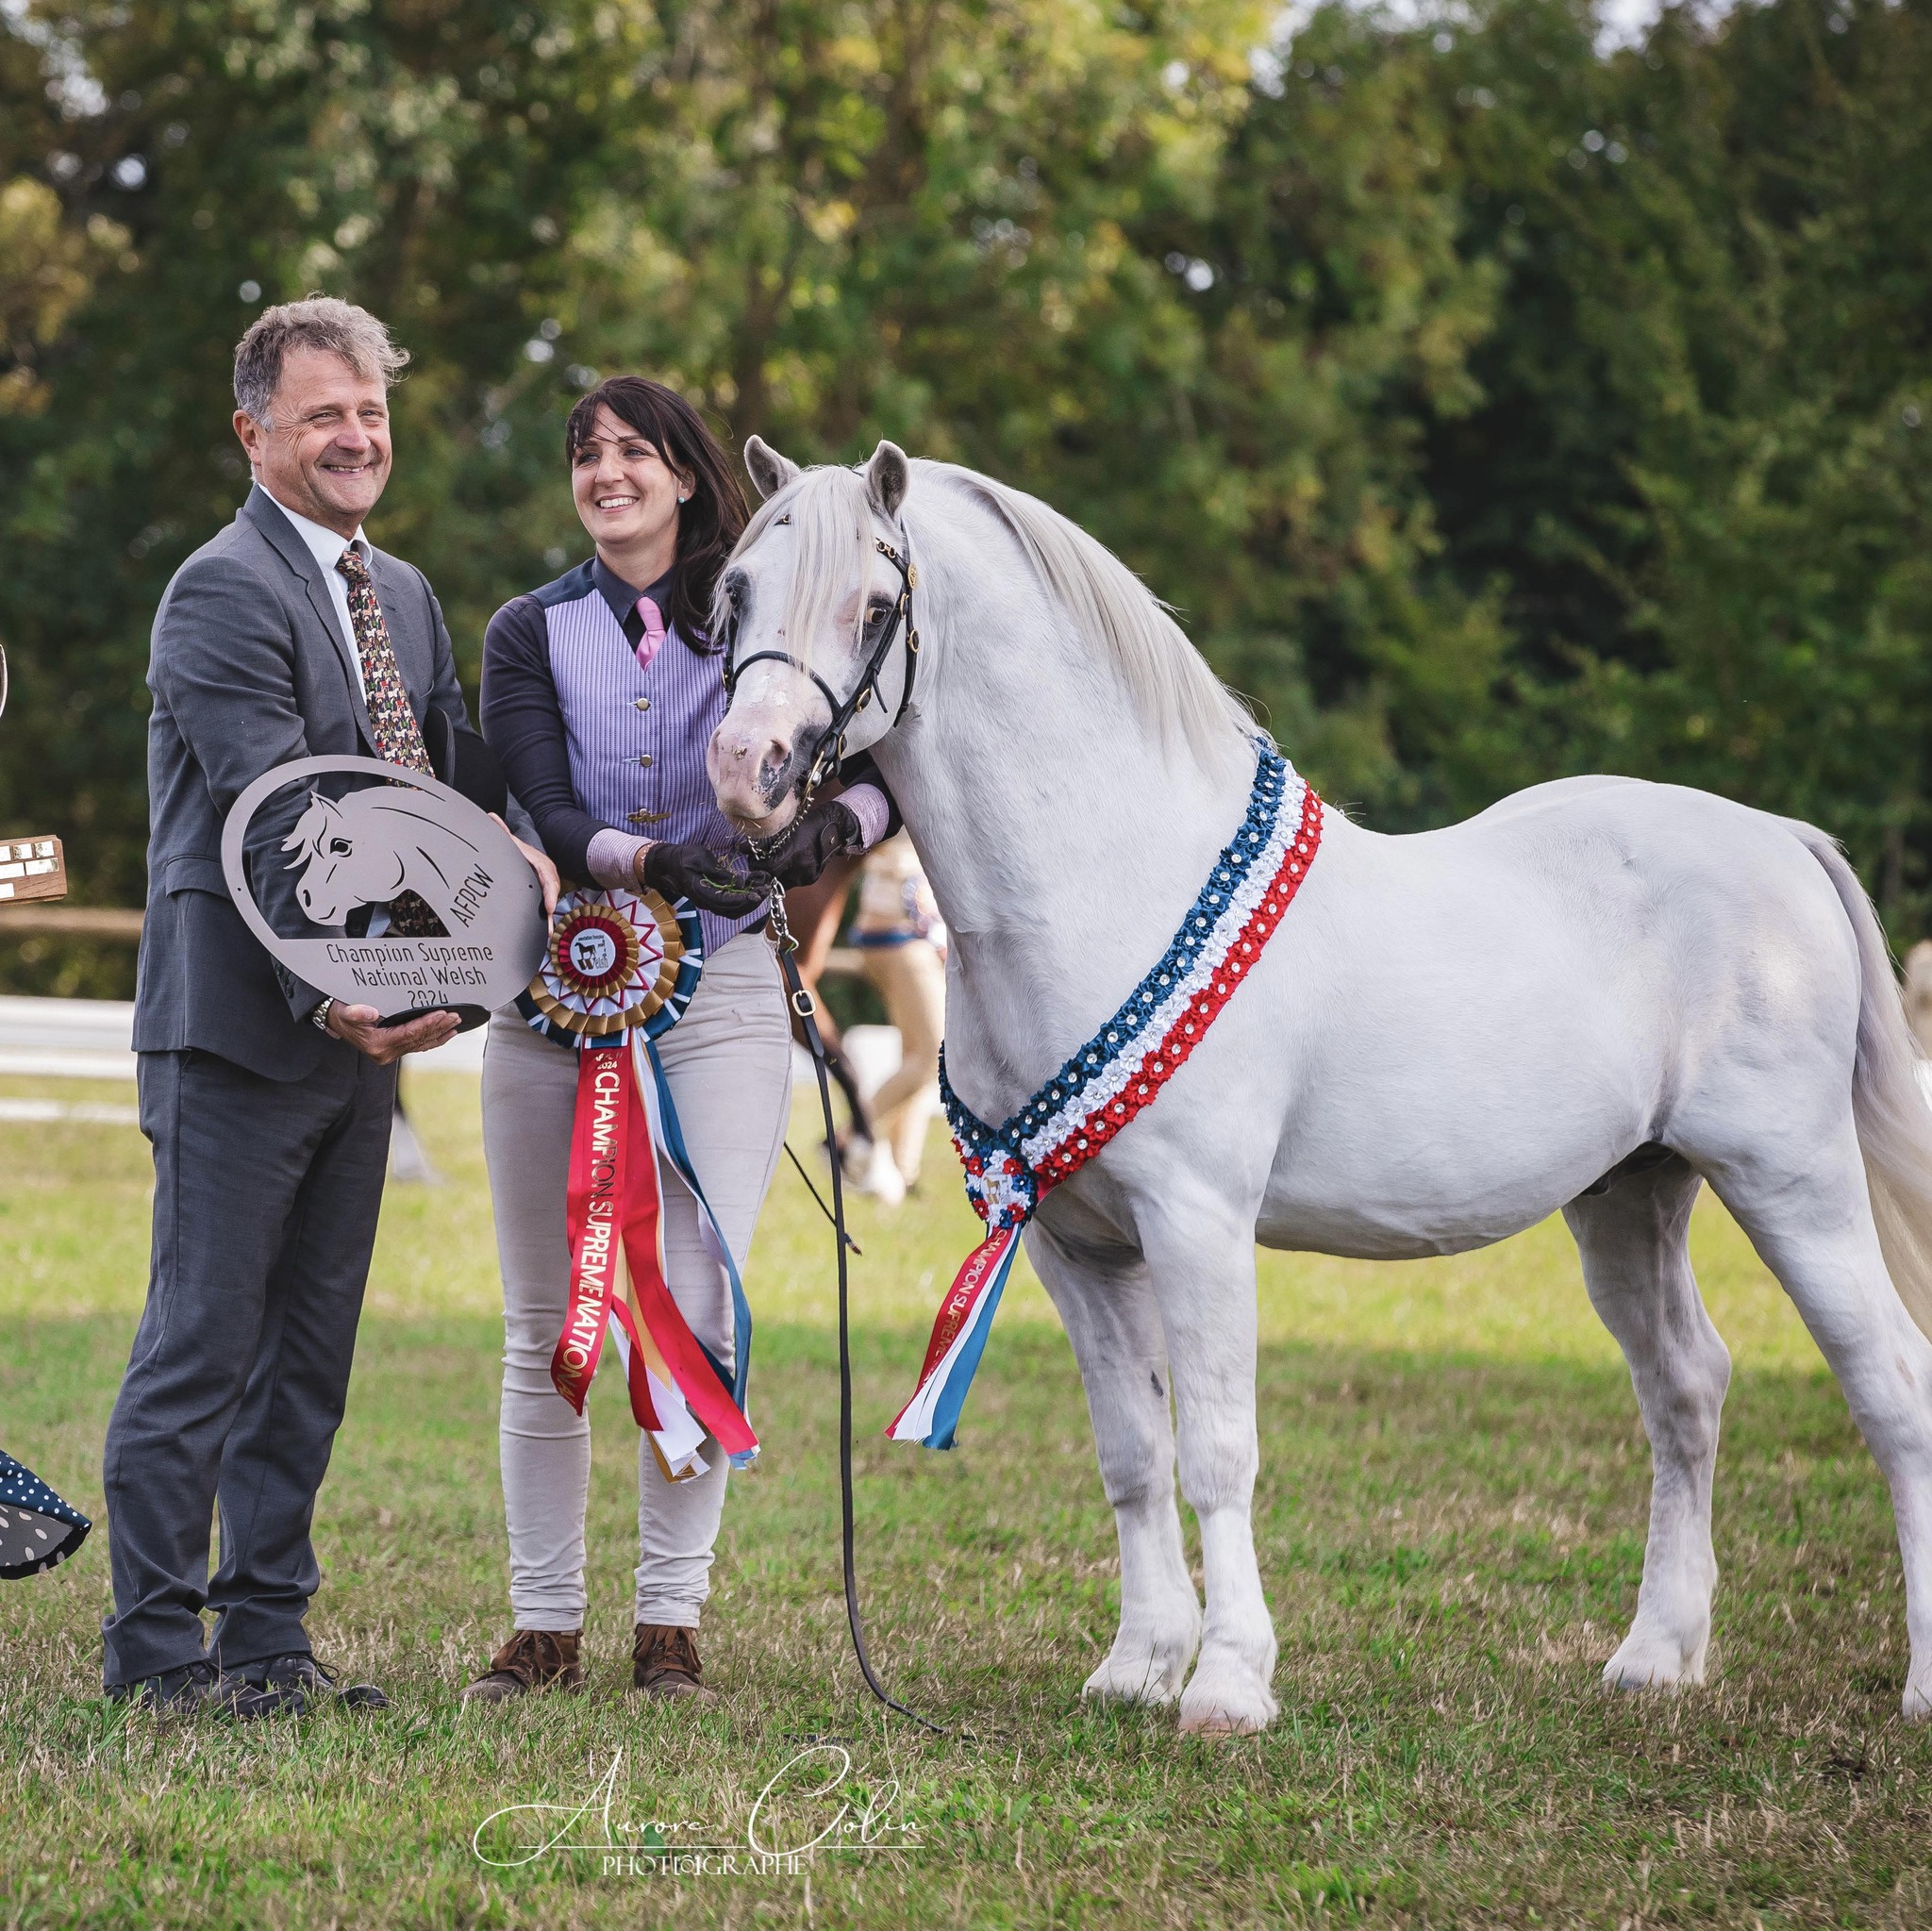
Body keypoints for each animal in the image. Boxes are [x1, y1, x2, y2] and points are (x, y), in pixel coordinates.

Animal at [703, 438, 1932, 1738]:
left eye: (874, 607)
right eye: (735, 590)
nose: (744, 769)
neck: (1107, 880)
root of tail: (1783, 839)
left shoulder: (1195, 1223)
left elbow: (1215, 1448)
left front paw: (1228, 1683)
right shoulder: (1070, 1244)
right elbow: (1131, 1451)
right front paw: (1138, 1663)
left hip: (1789, 1180)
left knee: (1890, 1386)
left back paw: (1914, 1682)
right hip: (1629, 1196)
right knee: (1685, 1388)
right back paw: (1654, 1655)